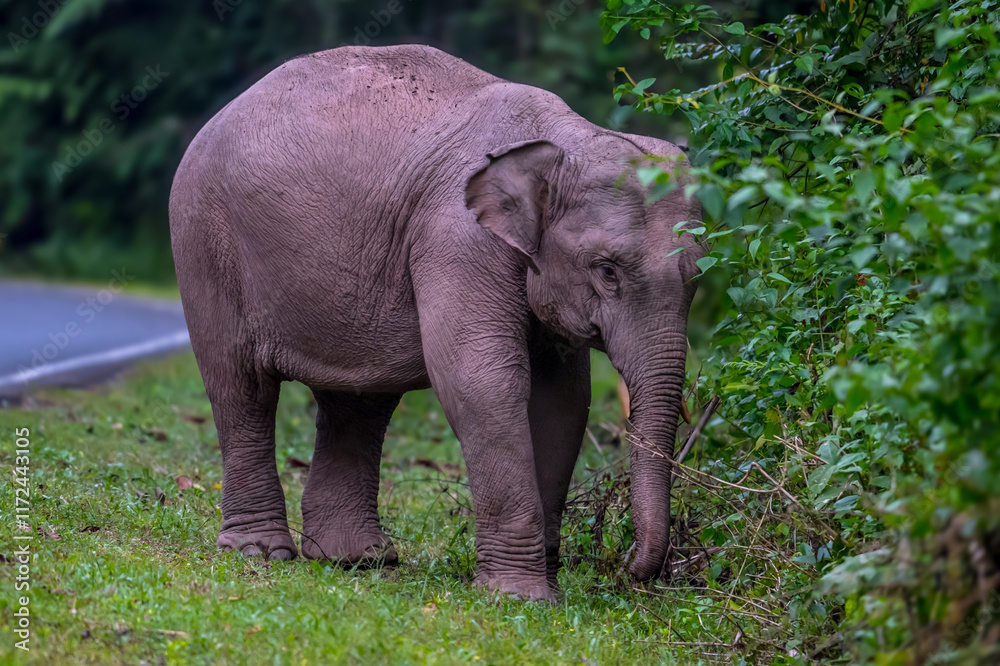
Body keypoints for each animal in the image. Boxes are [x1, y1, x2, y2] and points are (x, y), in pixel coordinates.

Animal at [169, 44, 702, 602]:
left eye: (698, 275)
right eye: (607, 271)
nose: (631, 569)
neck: (566, 138)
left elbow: (564, 398)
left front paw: (543, 587)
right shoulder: (458, 238)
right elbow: (483, 382)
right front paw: (519, 597)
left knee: (359, 400)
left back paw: (356, 559)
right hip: (204, 237)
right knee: (241, 385)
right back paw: (259, 552)